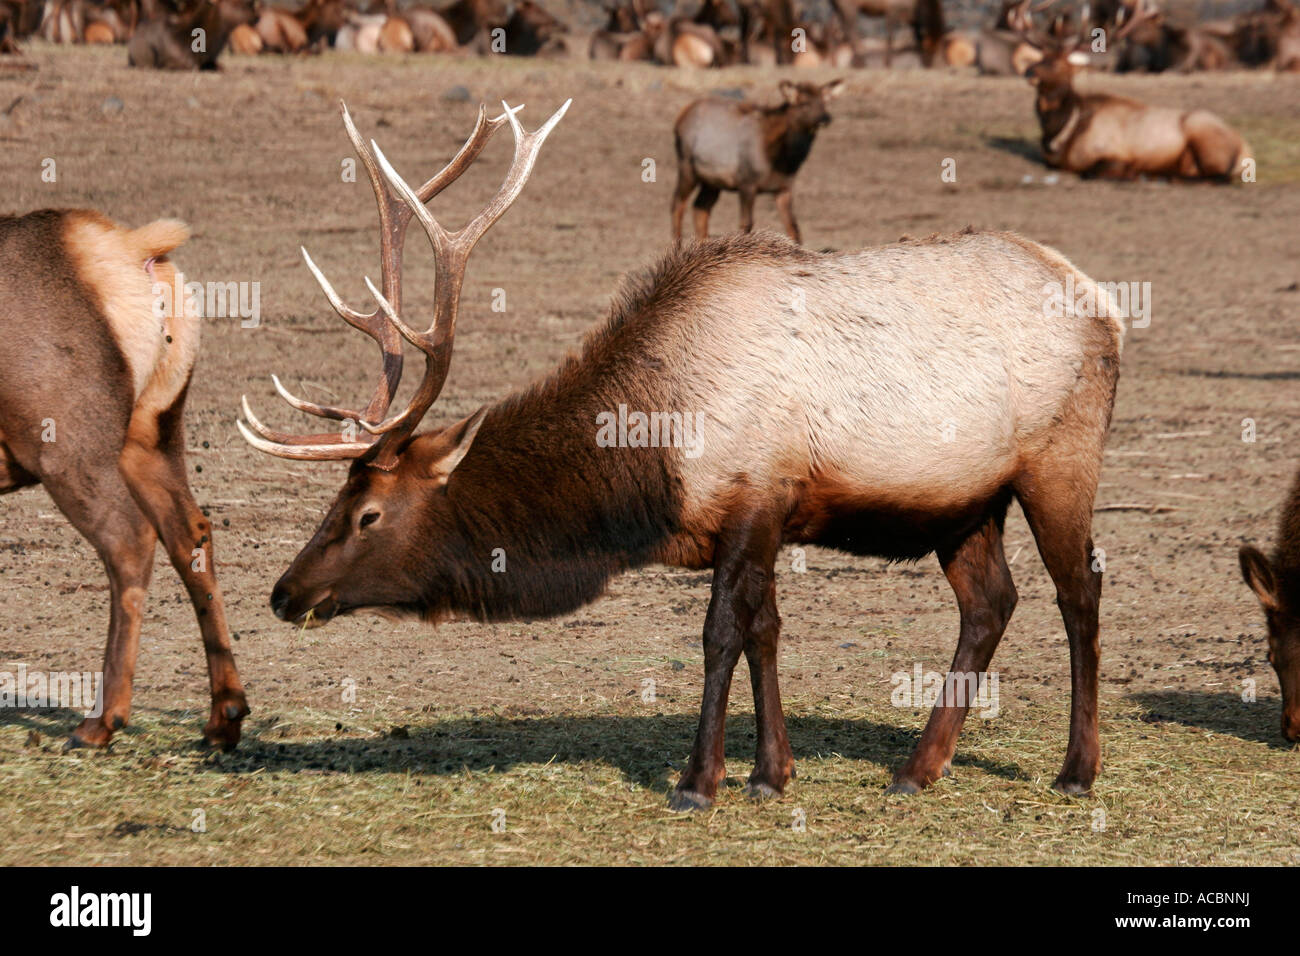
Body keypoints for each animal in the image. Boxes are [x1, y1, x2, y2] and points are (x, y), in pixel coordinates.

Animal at [0, 210, 248, 749]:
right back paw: (224, 716)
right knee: (191, 532)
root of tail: (131, 247)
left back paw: (101, 721)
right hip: (152, 431)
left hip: (70, 447)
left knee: (130, 540)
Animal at [238, 97, 1124, 809]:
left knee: (1079, 593)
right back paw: (917, 768)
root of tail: (1106, 305)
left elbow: (721, 633)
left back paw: (1076, 770)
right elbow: (767, 629)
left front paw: (700, 781)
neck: (651, 463)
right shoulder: (766, 517)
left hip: (1060, 460)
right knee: (990, 603)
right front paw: (771, 774)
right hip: (966, 500)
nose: (285, 592)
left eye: (367, 513)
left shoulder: (754, 495)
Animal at [672, 79, 843, 245]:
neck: (783, 162)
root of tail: (681, 115)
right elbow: (746, 225)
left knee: (700, 208)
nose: (825, 118)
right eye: (804, 103)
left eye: (824, 102)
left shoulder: (784, 188)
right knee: (677, 204)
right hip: (686, 165)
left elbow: (793, 228)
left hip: (712, 181)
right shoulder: (746, 182)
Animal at [1025, 34, 1253, 181]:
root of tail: (1246, 148)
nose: (1028, 72)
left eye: (1056, 63)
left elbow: (1089, 173)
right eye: (1040, 57)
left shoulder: (1116, 155)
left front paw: (1131, 173)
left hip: (1201, 131)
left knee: (1219, 176)